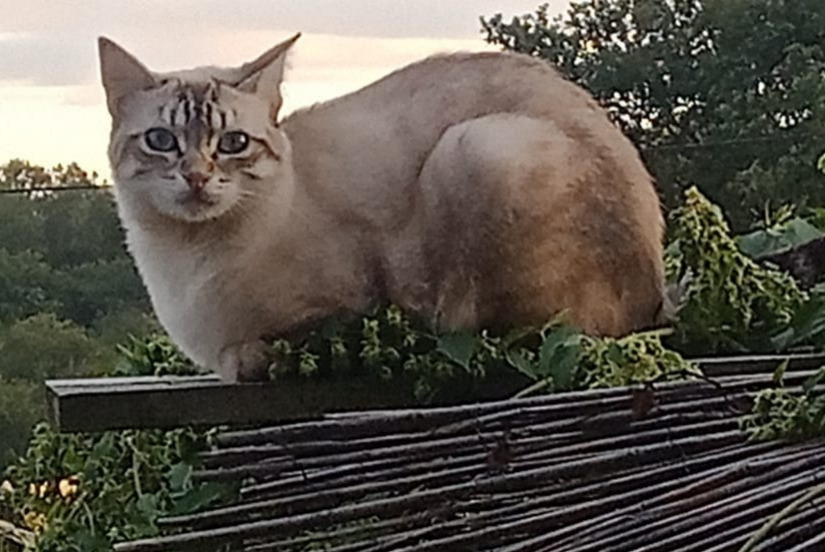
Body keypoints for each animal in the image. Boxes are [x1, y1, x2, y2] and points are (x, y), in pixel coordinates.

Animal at [98, 33, 664, 380]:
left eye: (233, 143)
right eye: (161, 140)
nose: (196, 177)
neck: (187, 264)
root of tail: (659, 299)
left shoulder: (345, 307)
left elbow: (267, 351)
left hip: (476, 148)